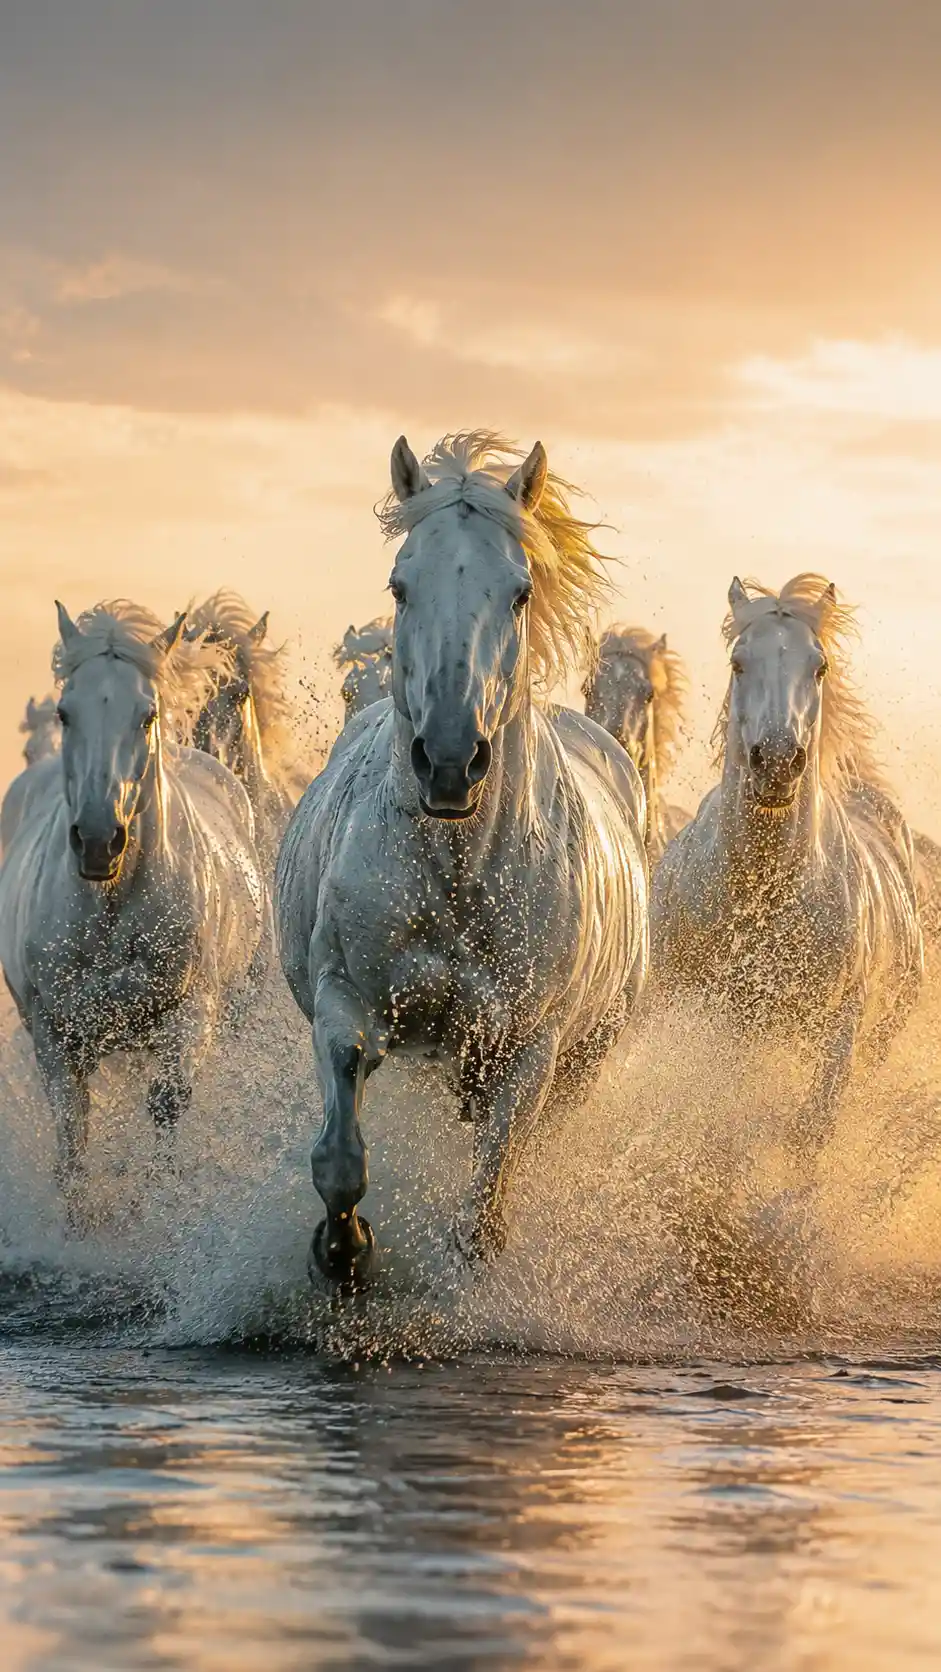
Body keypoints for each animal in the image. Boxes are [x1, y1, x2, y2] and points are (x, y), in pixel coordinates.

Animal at [0, 600, 267, 1209]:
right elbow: (73, 1136)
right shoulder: (54, 1035)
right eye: (65, 713)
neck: (108, 908)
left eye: (146, 715)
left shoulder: (190, 1016)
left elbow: (167, 1105)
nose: (99, 840)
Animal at [276, 430, 649, 1288]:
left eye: (517, 592)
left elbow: (484, 1205)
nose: (448, 761)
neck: (456, 873)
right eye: (399, 585)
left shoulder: (530, 1048)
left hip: (582, 1058)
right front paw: (341, 1254)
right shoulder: (347, 1001)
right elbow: (339, 1156)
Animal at [651, 573, 923, 1158]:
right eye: (737, 662)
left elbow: (808, 1131)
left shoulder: (835, 1031)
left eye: (818, 666)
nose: (776, 762)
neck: (759, 897)